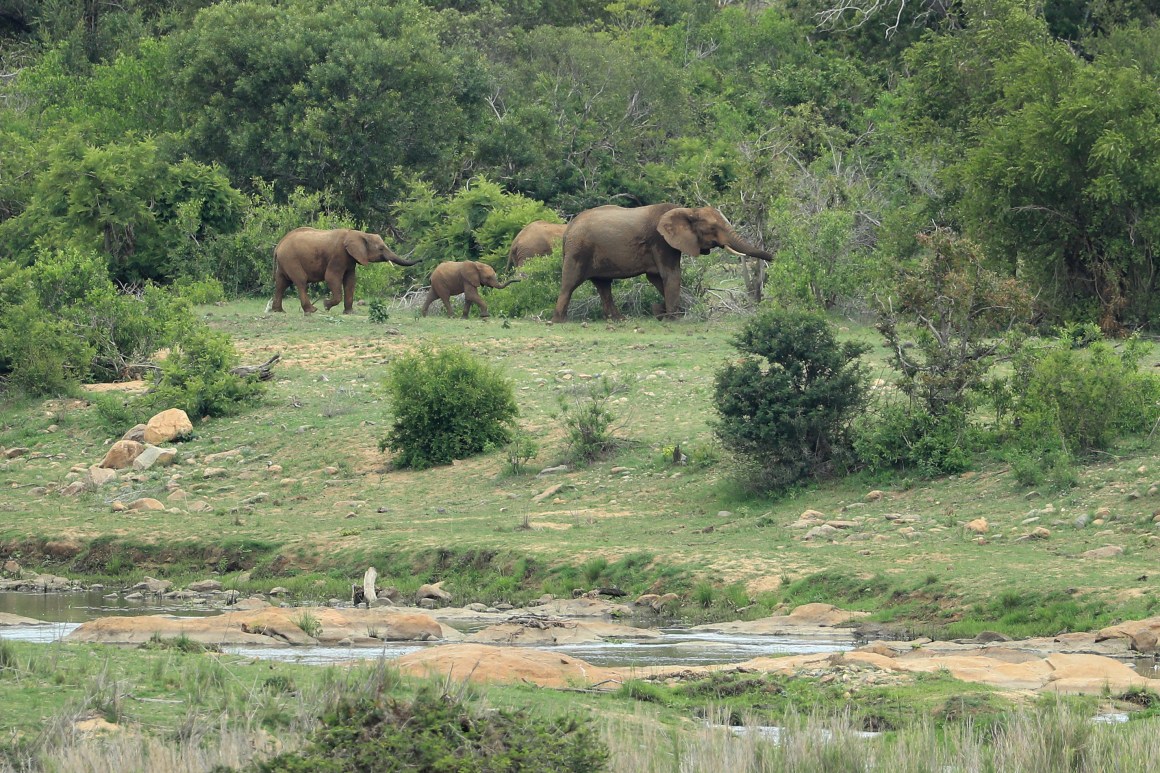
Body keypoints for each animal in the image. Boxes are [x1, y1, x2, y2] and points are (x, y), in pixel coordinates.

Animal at [269, 227, 419, 315]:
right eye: (381, 248)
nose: (421, 260)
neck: (358, 233)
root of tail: (279, 245)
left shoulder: (350, 259)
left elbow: (350, 281)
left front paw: (350, 312)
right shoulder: (338, 255)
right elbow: (331, 277)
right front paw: (326, 305)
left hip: (284, 261)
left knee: (281, 283)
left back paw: (278, 311)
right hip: (291, 259)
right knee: (300, 281)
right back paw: (312, 310)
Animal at [552, 203, 770, 320]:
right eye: (712, 229)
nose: (772, 258)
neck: (687, 210)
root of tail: (568, 229)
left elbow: (657, 278)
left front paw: (663, 312)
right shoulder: (661, 241)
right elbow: (671, 275)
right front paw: (674, 318)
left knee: (603, 286)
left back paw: (618, 320)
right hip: (578, 250)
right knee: (570, 283)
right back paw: (559, 321)